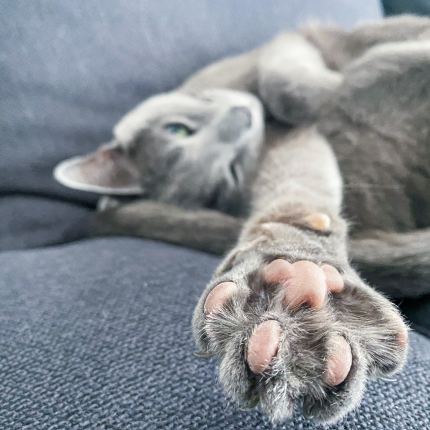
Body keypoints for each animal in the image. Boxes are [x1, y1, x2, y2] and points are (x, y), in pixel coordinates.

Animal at [54, 15, 430, 424]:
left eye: (177, 129)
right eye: (232, 172)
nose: (244, 116)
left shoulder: (284, 54)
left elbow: (283, 80)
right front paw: (297, 279)